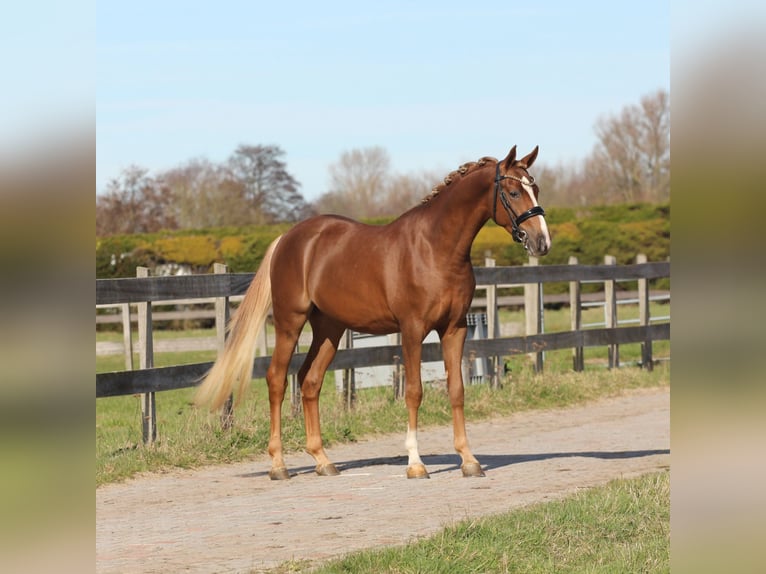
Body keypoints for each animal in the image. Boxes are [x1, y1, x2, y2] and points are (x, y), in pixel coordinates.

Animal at [195, 145, 551, 480]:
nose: (542, 242)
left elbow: (457, 390)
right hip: (289, 323)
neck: (436, 249)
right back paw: (278, 465)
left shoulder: (455, 328)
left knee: (310, 381)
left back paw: (322, 460)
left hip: (330, 330)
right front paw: (415, 464)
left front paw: (469, 460)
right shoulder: (412, 330)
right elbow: (414, 392)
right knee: (277, 380)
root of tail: (288, 238)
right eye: (514, 192)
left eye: (536, 188)